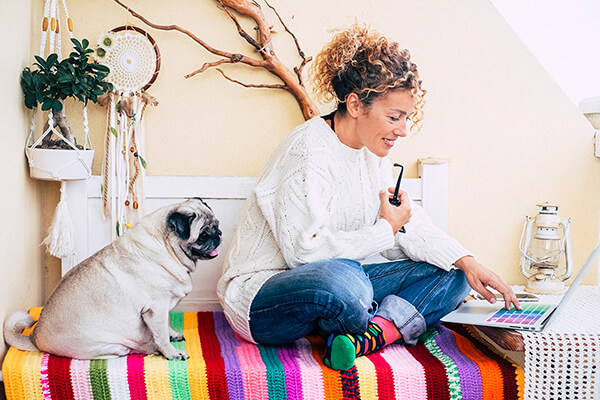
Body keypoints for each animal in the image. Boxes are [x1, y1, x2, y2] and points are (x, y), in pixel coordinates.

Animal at [3, 198, 219, 360]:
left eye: (216, 225)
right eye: (203, 235)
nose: (218, 235)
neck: (165, 247)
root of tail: (34, 336)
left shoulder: (162, 308)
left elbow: (165, 325)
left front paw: (172, 334)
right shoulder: (155, 308)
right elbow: (161, 335)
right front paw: (171, 353)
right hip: (106, 346)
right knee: (127, 350)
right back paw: (151, 348)